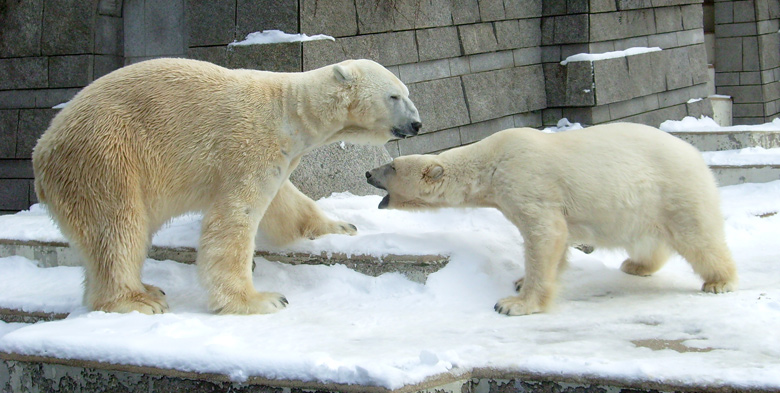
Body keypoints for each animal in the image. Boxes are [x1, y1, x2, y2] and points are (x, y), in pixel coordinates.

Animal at [33, 56, 420, 314]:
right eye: (394, 96)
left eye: (406, 92)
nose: (417, 123)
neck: (290, 112)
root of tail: (42, 150)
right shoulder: (249, 147)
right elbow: (235, 218)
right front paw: (261, 299)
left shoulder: (280, 157)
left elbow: (285, 202)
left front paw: (340, 226)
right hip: (104, 157)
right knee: (117, 228)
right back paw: (137, 300)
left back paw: (148, 290)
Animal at [366, 122, 736, 316]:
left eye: (392, 167)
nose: (368, 172)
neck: (490, 164)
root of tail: (695, 154)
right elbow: (558, 241)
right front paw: (519, 280)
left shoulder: (526, 180)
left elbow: (545, 233)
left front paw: (514, 303)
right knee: (646, 238)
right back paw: (637, 264)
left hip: (672, 189)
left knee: (698, 236)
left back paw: (720, 281)